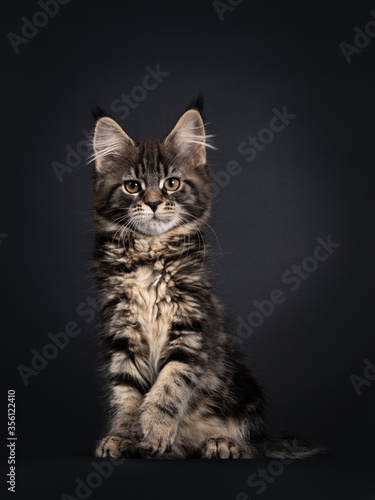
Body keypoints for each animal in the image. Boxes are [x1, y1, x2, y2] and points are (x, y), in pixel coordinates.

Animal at [92, 98, 318, 460]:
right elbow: (126, 392)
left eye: (172, 183)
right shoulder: (121, 331)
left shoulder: (192, 330)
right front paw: (124, 436)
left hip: (243, 392)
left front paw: (154, 430)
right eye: (132, 186)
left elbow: (169, 385)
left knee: (250, 444)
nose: (153, 203)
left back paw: (222, 443)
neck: (150, 254)